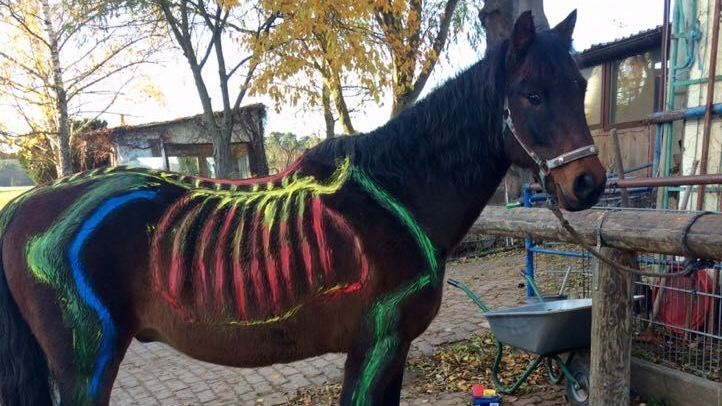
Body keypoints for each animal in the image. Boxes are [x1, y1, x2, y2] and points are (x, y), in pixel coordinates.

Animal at [0, 10, 605, 406]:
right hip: (87, 360)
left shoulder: (393, 350)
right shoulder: (376, 346)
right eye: (531, 95)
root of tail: (23, 205)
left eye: (581, 86)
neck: (397, 195)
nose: (588, 184)